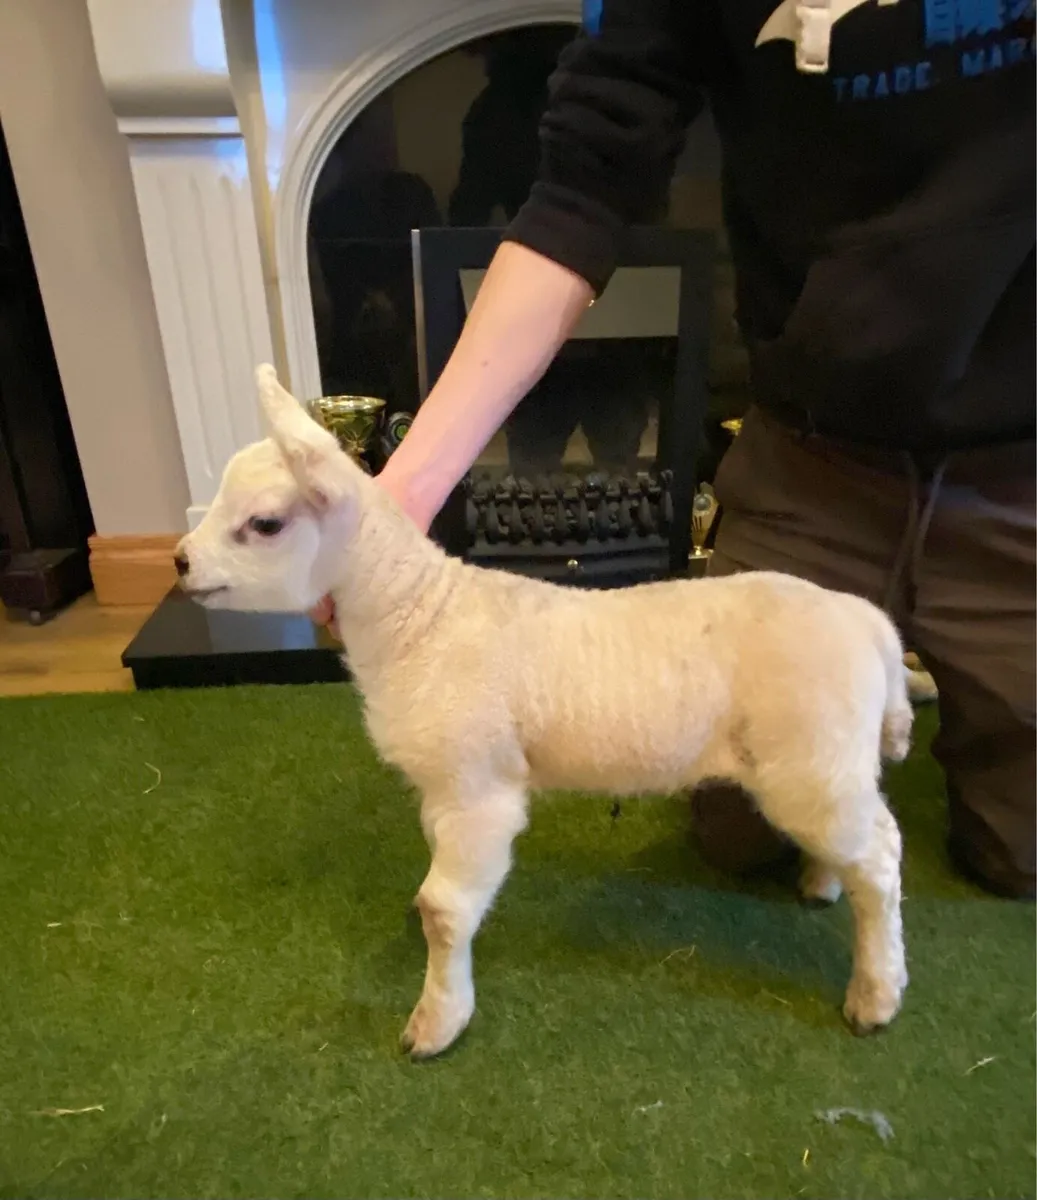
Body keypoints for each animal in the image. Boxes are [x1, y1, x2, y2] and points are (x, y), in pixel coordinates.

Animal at [175, 363, 911, 1060]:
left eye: (265, 523)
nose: (179, 561)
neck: (417, 614)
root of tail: (867, 621)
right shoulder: (443, 789)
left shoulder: (480, 793)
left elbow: (444, 909)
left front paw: (437, 1021)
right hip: (827, 765)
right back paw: (822, 883)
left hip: (809, 760)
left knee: (880, 853)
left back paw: (875, 995)